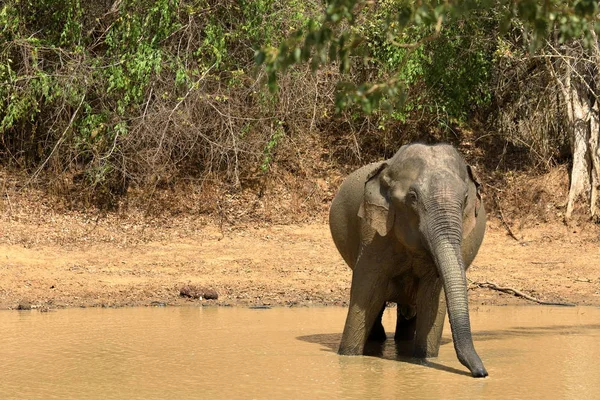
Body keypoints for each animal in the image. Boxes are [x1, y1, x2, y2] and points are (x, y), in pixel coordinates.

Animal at [328, 144, 488, 378]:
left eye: (466, 198)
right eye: (413, 196)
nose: (482, 373)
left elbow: (432, 299)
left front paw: (423, 358)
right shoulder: (374, 233)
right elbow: (366, 294)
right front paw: (348, 357)